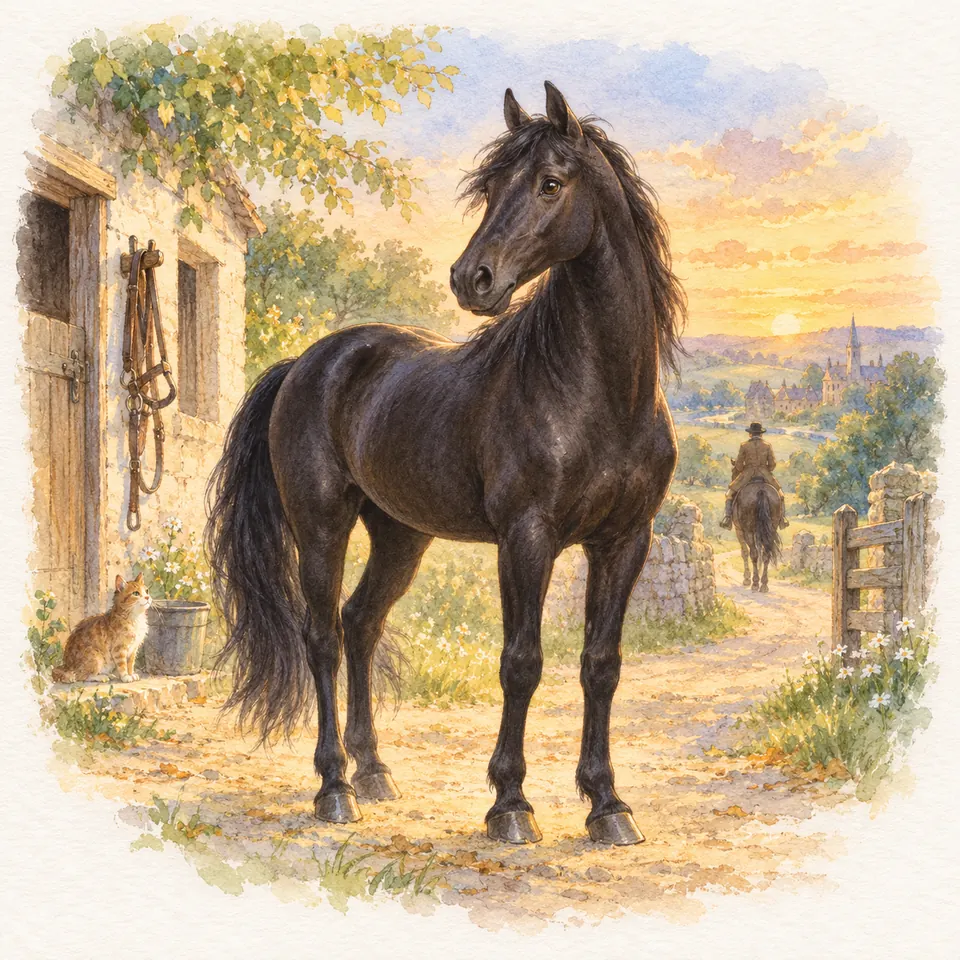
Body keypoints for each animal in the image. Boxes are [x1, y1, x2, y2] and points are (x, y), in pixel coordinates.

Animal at [206, 82, 687, 847]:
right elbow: (521, 663)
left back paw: (374, 772)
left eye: (550, 184)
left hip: (401, 536)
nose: (472, 279)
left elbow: (601, 666)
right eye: (489, 188)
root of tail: (306, 362)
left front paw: (608, 805)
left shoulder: (623, 542)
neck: (602, 392)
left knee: (360, 622)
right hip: (321, 527)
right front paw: (510, 805)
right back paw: (334, 787)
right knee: (322, 637)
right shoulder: (527, 539)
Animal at [728, 459, 783, 593]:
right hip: (771, 529)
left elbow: (744, 552)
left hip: (747, 531)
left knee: (753, 553)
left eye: (733, 470)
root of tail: (761, 490)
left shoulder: (739, 530)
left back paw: (755, 583)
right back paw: (764, 584)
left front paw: (747, 578)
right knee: (766, 553)